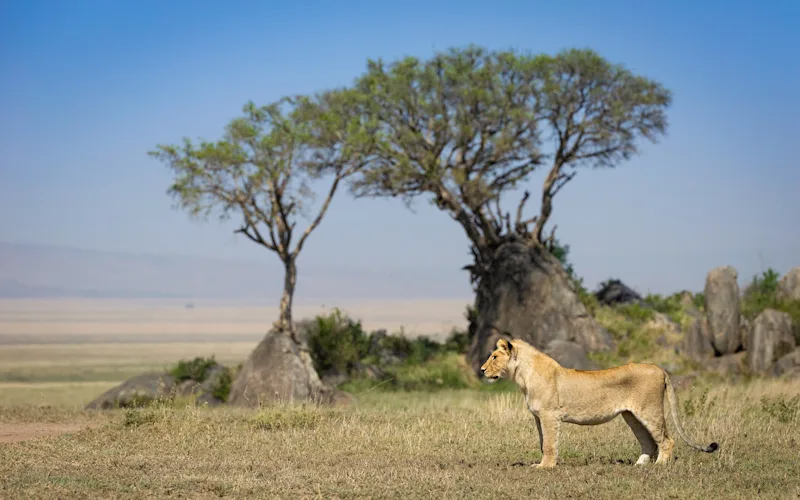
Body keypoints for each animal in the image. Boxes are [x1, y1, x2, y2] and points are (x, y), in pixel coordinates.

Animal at [481, 337, 718, 468]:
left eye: (494, 357)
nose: (482, 370)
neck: (522, 375)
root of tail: (659, 368)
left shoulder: (549, 415)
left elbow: (548, 443)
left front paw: (545, 467)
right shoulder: (539, 417)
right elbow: (543, 442)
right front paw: (544, 463)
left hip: (649, 411)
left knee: (667, 440)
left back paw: (660, 465)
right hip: (631, 416)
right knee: (649, 442)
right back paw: (639, 465)